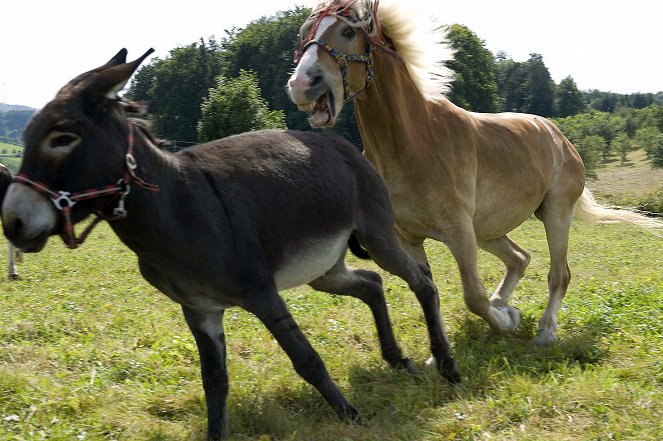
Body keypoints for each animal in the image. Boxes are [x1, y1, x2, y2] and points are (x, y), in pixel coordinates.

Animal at [3, 49, 462, 438]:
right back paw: (396, 357)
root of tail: (342, 143)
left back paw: (447, 365)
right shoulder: (199, 309)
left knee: (421, 281)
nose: (12, 222)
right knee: (371, 284)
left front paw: (350, 415)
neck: (176, 207)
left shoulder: (260, 292)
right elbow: (214, 380)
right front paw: (216, 433)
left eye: (62, 138)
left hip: (376, 233)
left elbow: (306, 358)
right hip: (324, 270)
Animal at [288, 0, 660, 350]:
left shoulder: (459, 231)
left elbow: (473, 296)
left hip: (554, 214)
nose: (301, 84)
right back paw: (504, 303)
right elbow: (430, 290)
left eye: (348, 31)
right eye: (306, 32)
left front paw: (506, 321)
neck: (409, 142)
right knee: (520, 258)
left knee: (559, 274)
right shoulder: (410, 238)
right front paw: (444, 350)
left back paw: (544, 330)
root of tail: (559, 136)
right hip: (488, 229)